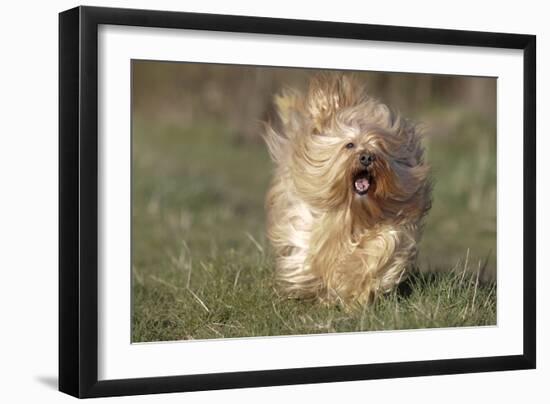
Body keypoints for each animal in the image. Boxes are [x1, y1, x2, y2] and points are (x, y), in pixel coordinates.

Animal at [266, 73, 434, 306]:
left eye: (378, 146)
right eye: (350, 145)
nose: (367, 157)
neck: (352, 211)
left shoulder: (391, 226)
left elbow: (379, 249)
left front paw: (354, 289)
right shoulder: (305, 221)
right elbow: (308, 254)